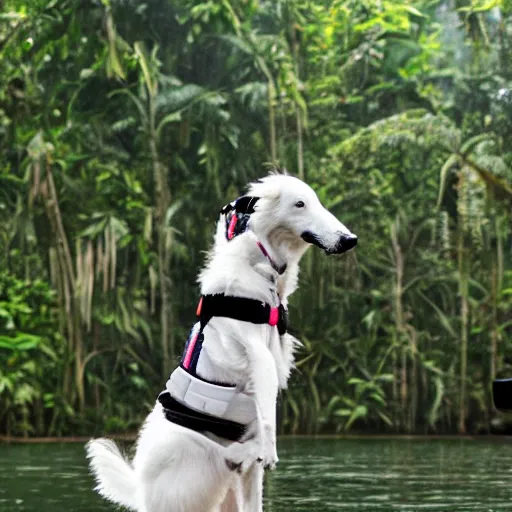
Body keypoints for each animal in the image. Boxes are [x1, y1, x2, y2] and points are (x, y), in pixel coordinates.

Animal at [85, 174, 356, 510]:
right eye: (300, 204)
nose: (350, 239)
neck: (262, 261)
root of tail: (141, 490)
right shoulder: (258, 354)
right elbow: (268, 422)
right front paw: (267, 449)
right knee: (233, 455)